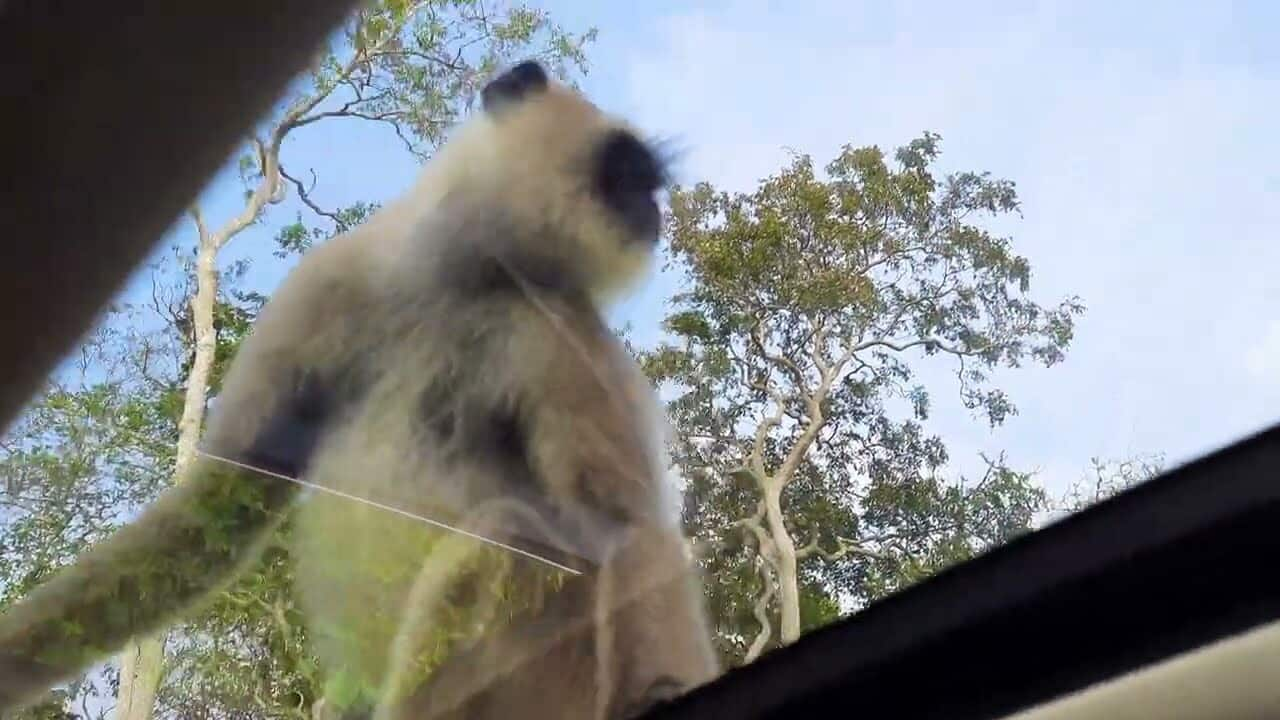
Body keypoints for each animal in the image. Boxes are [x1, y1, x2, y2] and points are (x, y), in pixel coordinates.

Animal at [0, 61, 721, 717]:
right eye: (625, 174)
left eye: (642, 181)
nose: (651, 211)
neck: (463, 277)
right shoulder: (326, 284)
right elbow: (215, 507)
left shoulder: (559, 332)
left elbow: (626, 525)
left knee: (516, 535)